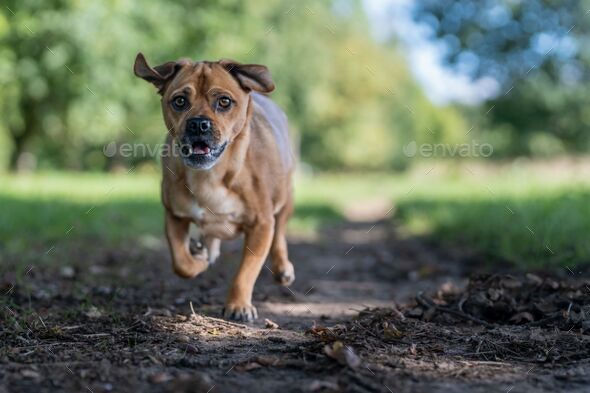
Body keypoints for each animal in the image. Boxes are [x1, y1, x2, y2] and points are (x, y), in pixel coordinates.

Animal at [132, 52, 294, 322]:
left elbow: (246, 271)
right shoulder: (175, 215)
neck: (211, 175)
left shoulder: (261, 225)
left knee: (280, 231)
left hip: (285, 198)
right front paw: (197, 260)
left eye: (224, 102)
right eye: (179, 101)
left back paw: (282, 268)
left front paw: (238, 305)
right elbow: (182, 263)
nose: (198, 124)